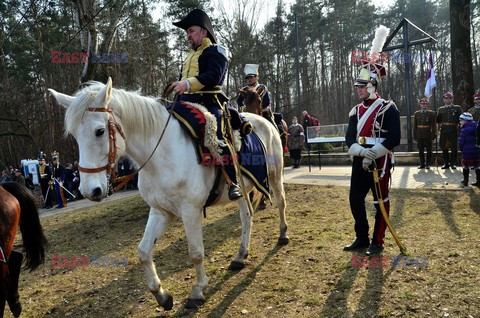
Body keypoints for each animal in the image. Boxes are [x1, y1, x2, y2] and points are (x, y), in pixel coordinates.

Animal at [48, 78, 288, 312]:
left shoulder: (190, 211)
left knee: (280, 203)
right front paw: (162, 295)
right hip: (242, 189)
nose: (90, 191)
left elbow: (195, 252)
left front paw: (197, 291)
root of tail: (262, 120)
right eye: (75, 136)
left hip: (274, 176)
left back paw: (283, 235)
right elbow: (143, 252)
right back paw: (240, 256)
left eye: (99, 131)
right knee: (246, 216)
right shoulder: (160, 211)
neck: (161, 154)